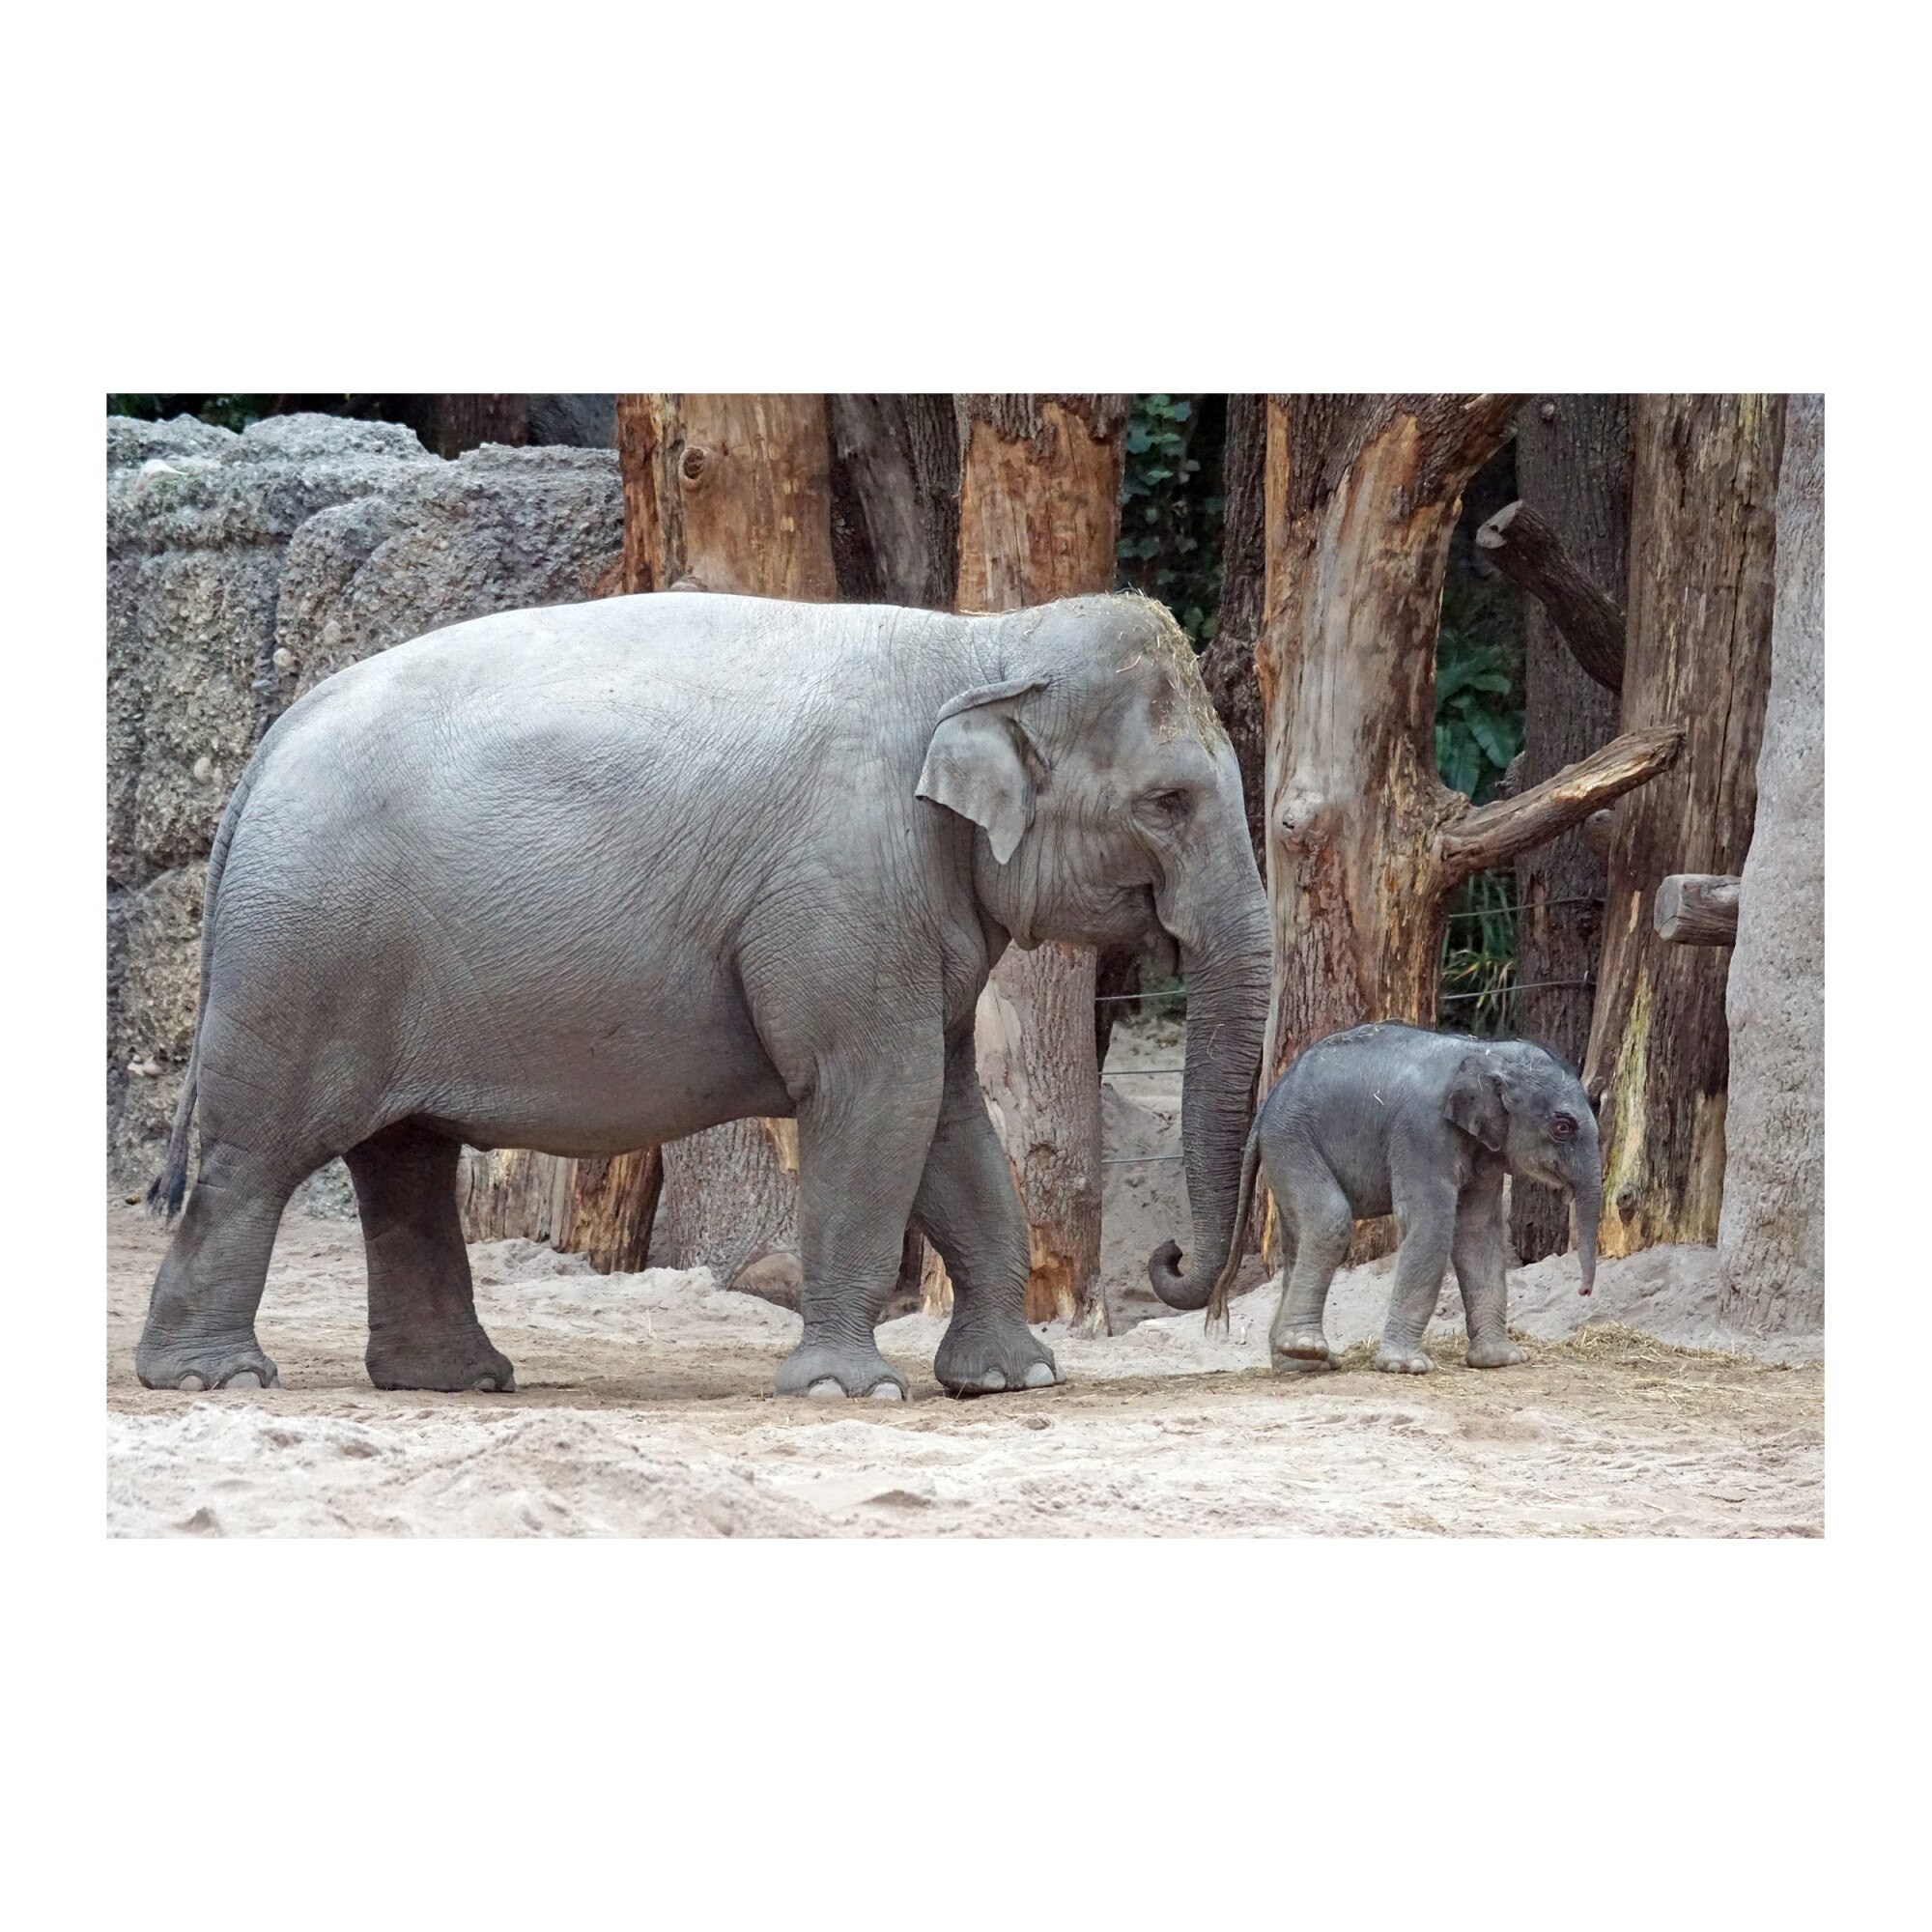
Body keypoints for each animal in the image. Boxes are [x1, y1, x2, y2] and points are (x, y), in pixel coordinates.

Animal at [136, 589, 1271, 1400]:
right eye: (1169, 801)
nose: (1172, 1257)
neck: (984, 643)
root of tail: (272, 741)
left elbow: (947, 1115)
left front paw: (1011, 1379)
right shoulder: (846, 886)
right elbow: (876, 1100)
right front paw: (848, 1393)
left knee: (405, 1160)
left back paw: (452, 1381)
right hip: (305, 951)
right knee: (259, 1156)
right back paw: (215, 1379)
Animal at [1187, 1023, 1601, 1374]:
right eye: (1562, 1127)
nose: (1584, 1291)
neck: (1484, 1050)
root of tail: (1265, 1107)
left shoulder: (1483, 1150)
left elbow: (1478, 1233)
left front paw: (1502, 1361)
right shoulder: (1421, 1132)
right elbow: (1432, 1225)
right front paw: (1407, 1367)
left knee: (1297, 1242)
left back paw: (1301, 1363)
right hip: (1291, 1140)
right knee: (1329, 1220)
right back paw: (1306, 1348)